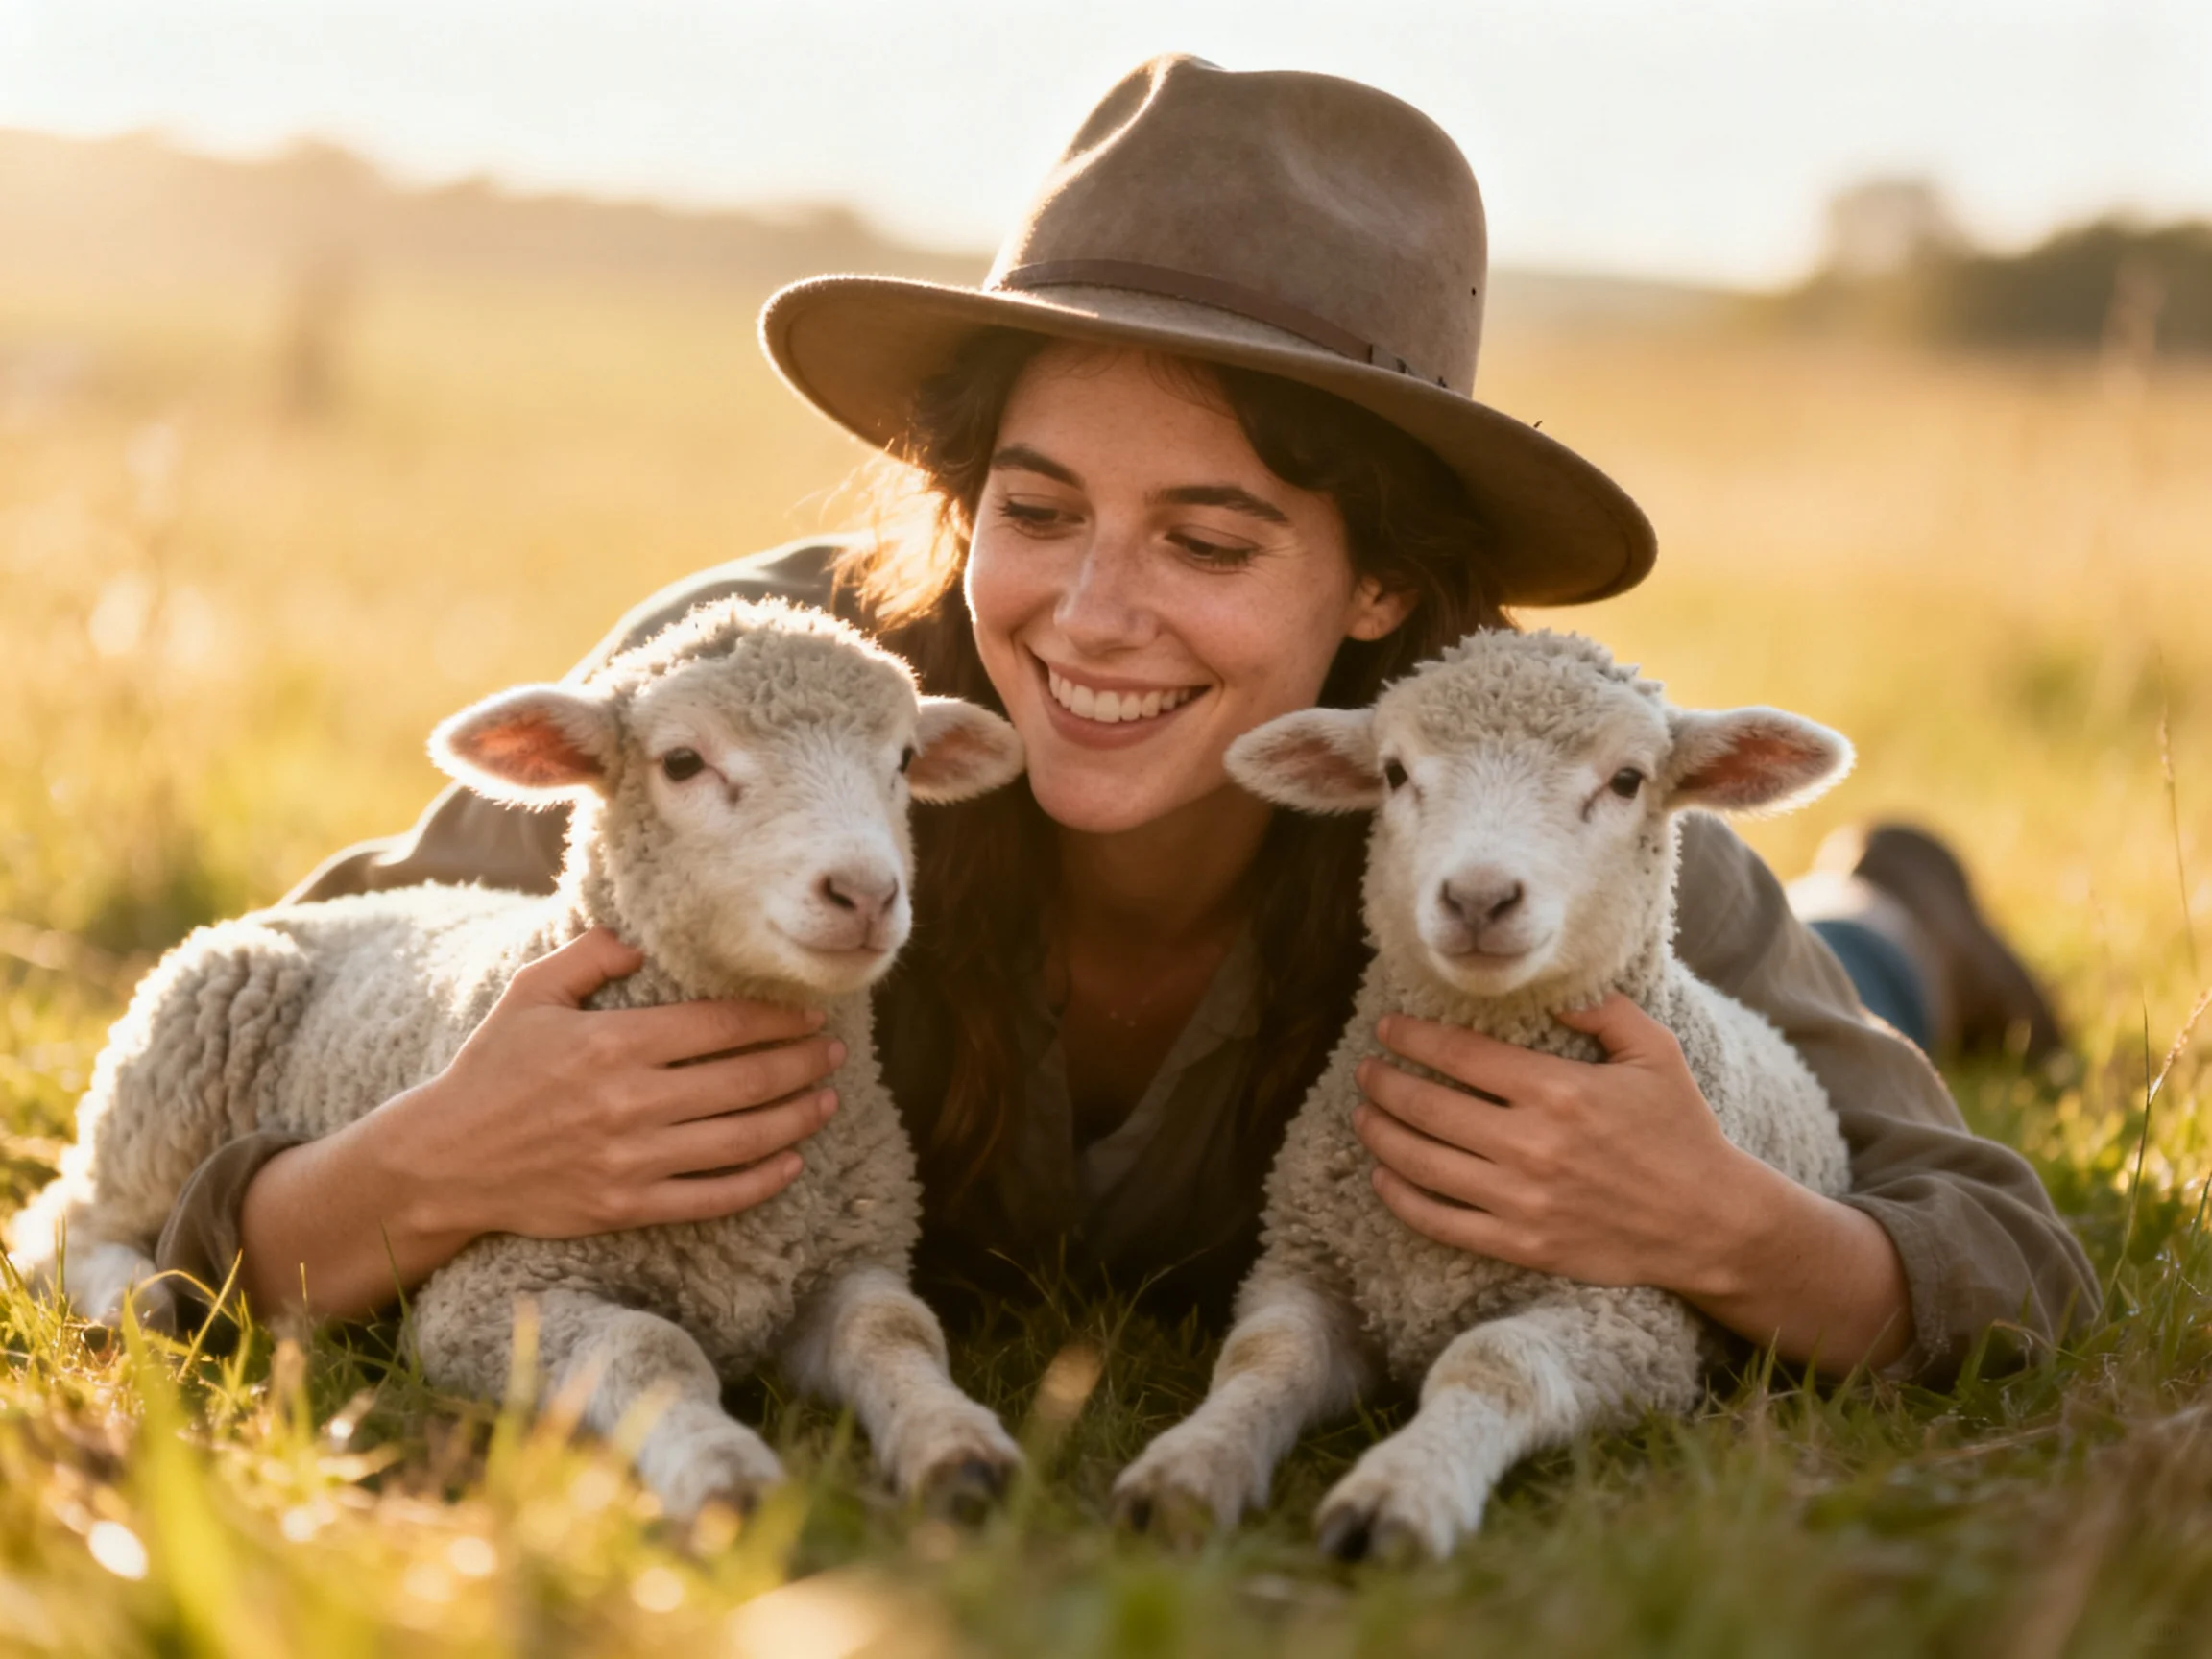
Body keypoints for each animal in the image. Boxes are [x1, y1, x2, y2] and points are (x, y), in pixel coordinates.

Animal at [10, 597, 1030, 1522]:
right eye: (683, 762)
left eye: (903, 762)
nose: (864, 893)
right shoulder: (487, 1297)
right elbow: (651, 1350)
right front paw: (723, 1474)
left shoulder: (852, 1258)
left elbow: (896, 1329)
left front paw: (960, 1450)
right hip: (161, 1085)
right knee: (66, 1221)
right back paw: (136, 1299)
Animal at [1112, 629, 1855, 1561]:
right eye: (1394, 772)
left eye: (1627, 780)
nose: (1478, 897)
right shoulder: (1307, 1265)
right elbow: (1265, 1356)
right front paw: (1185, 1469)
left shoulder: (1632, 1318)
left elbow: (1491, 1364)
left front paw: (1400, 1494)